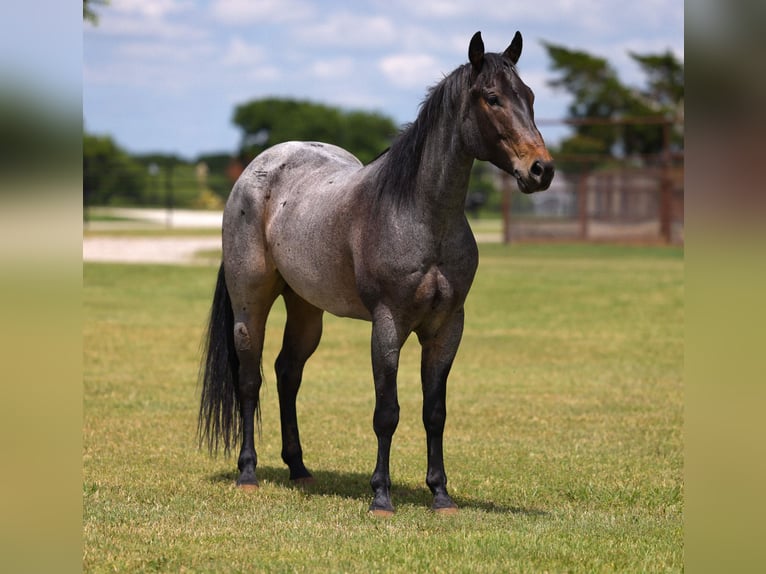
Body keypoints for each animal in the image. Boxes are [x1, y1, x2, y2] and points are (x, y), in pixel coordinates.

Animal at [198, 31, 554, 515]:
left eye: (531, 96)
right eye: (493, 97)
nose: (541, 170)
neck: (419, 214)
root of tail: (253, 172)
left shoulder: (447, 327)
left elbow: (434, 412)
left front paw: (440, 495)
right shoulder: (388, 324)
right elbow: (387, 412)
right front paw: (381, 496)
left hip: (306, 309)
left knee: (288, 373)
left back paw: (299, 468)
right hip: (250, 304)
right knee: (250, 380)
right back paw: (248, 473)